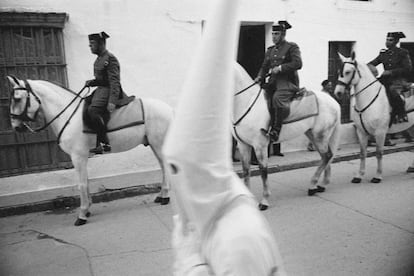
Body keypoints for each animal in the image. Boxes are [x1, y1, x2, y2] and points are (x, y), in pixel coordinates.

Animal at [8, 75, 173, 224]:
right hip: (154, 144)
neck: (69, 116)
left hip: (158, 144)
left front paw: (82, 214)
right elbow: (86, 181)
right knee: (163, 167)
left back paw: (165, 197)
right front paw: (87, 210)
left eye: (17, 99)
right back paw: (161, 195)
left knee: (165, 167)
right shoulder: (82, 156)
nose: (16, 127)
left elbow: (81, 184)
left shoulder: (78, 156)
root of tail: (168, 108)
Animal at [231, 63, 342, 209]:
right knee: (325, 157)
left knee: (327, 156)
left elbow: (263, 171)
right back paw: (321, 185)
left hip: (320, 136)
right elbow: (245, 170)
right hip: (313, 135)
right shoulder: (243, 144)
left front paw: (264, 201)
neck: (247, 102)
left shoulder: (260, 146)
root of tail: (332, 101)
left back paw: (312, 186)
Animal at [334, 52, 412, 184]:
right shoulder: (361, 132)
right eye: (339, 71)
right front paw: (359, 176)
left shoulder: (380, 132)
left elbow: (379, 153)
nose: (337, 93)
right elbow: (362, 153)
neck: (369, 98)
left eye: (348, 71)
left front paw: (377, 176)